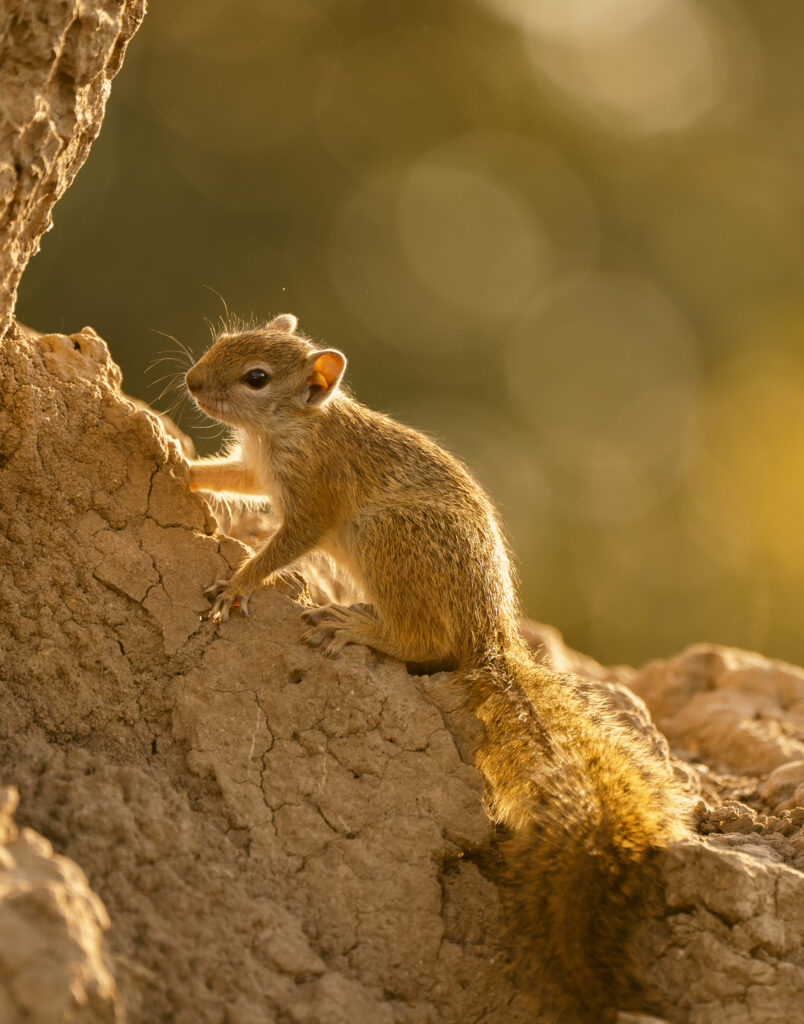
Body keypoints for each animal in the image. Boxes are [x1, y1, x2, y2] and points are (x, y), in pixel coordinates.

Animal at [184, 313, 689, 1022]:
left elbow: (284, 545)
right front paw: (178, 462)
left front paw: (238, 583)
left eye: (256, 377)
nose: (191, 382)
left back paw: (356, 626)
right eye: (221, 344)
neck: (292, 426)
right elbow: (230, 479)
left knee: (424, 645)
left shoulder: (318, 493)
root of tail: (490, 640)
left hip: (390, 543)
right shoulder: (258, 471)